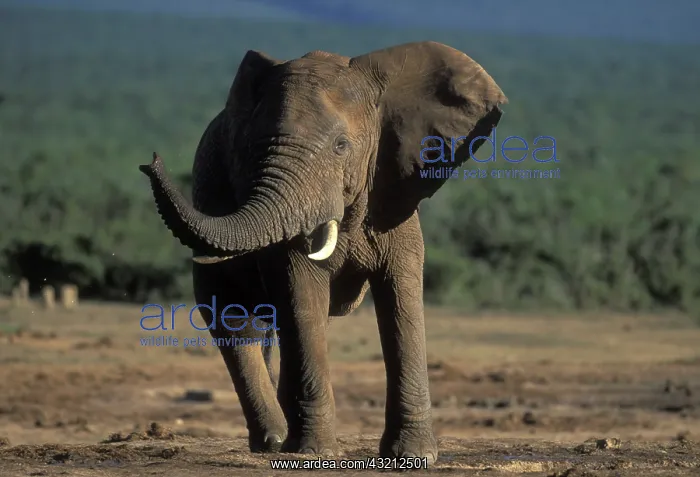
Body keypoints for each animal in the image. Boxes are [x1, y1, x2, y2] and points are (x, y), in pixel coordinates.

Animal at [139, 41, 506, 463]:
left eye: (341, 146)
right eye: (254, 149)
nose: (150, 161)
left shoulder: (393, 193)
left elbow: (401, 293)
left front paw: (412, 459)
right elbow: (299, 287)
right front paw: (314, 453)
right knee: (236, 320)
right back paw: (275, 441)